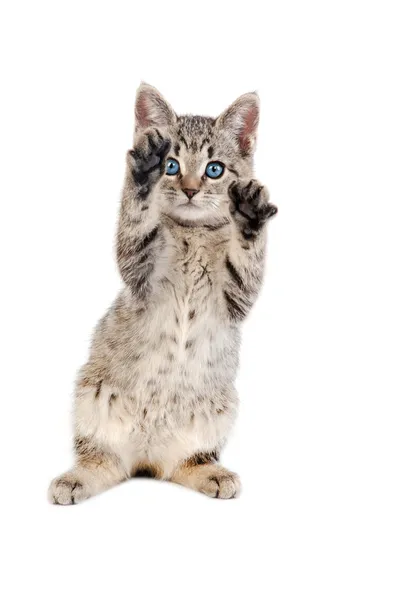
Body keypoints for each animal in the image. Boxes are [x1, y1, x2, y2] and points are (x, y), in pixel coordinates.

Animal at [48, 81, 276, 502]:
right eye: (171, 165)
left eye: (214, 169)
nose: (189, 189)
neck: (193, 233)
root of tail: (147, 458)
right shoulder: (137, 269)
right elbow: (136, 218)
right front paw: (142, 174)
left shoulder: (238, 297)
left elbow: (247, 259)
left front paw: (250, 218)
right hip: (91, 398)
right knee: (100, 459)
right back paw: (76, 479)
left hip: (218, 411)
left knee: (184, 463)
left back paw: (210, 472)